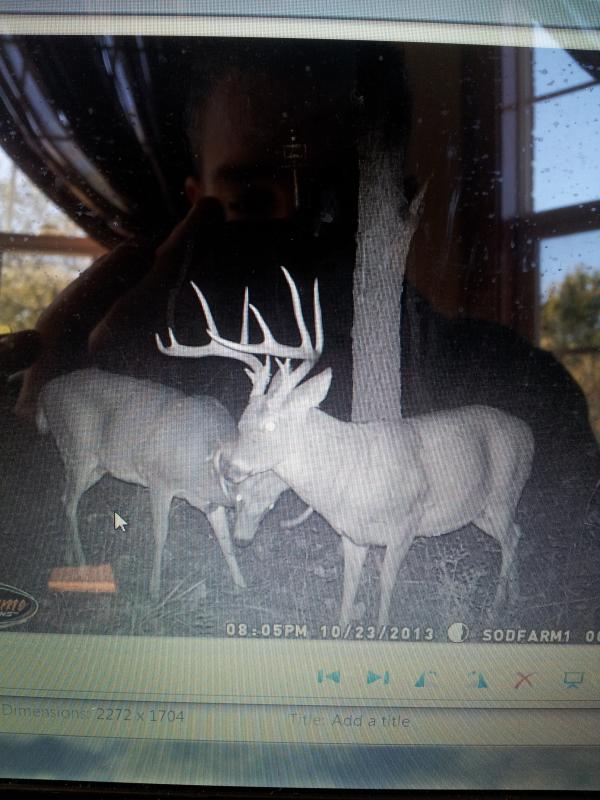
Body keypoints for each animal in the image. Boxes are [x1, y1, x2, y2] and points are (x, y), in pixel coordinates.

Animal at [37, 367, 290, 600]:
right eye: (240, 498)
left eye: (271, 506)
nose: (244, 541)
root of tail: (45, 392)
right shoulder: (158, 480)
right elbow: (161, 534)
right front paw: (154, 590)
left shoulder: (208, 503)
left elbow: (224, 541)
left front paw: (241, 584)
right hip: (78, 450)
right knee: (70, 502)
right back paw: (82, 565)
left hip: (96, 466)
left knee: (65, 498)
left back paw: (69, 556)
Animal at [166, 267, 535, 625]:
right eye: (241, 420)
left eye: (270, 426)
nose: (227, 467)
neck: (348, 483)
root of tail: (529, 434)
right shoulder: (351, 535)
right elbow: (348, 590)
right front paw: (344, 628)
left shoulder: (407, 524)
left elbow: (386, 586)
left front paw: (383, 628)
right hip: (481, 510)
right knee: (515, 534)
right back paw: (514, 595)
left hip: (503, 494)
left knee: (511, 537)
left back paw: (497, 607)